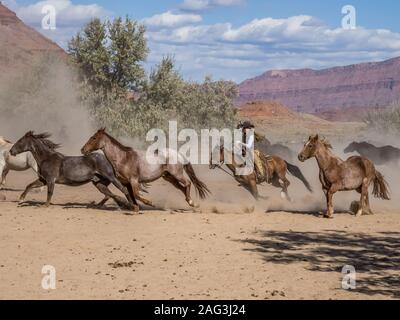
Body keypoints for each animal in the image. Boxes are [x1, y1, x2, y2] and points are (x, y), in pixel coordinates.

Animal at [81, 127, 212, 212]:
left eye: (94, 138)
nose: (82, 150)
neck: (123, 158)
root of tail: (179, 154)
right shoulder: (126, 182)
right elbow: (130, 194)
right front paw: (135, 208)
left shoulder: (134, 180)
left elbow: (136, 194)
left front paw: (150, 203)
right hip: (169, 177)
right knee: (182, 188)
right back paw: (190, 203)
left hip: (177, 174)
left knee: (188, 183)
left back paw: (192, 203)